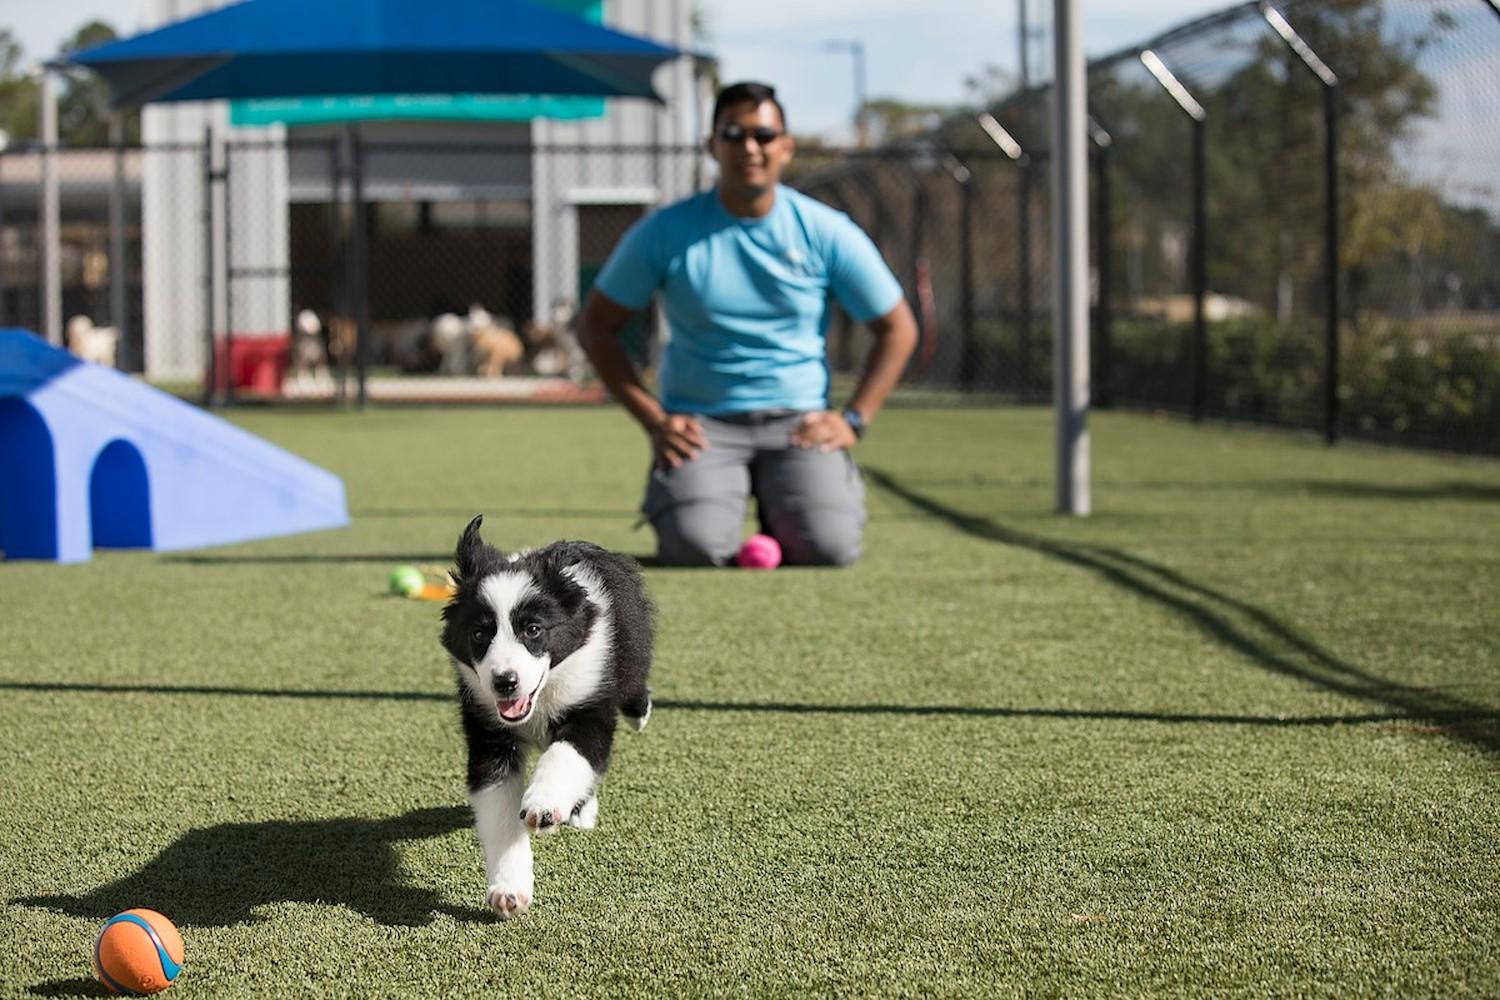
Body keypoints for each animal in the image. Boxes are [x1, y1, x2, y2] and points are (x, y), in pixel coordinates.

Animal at [439, 515, 654, 918]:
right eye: (479, 633)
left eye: (533, 629)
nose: (505, 682)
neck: (542, 696)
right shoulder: (488, 734)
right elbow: (500, 812)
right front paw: (509, 891)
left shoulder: (589, 709)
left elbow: (566, 756)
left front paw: (543, 805)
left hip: (633, 654)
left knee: (634, 691)